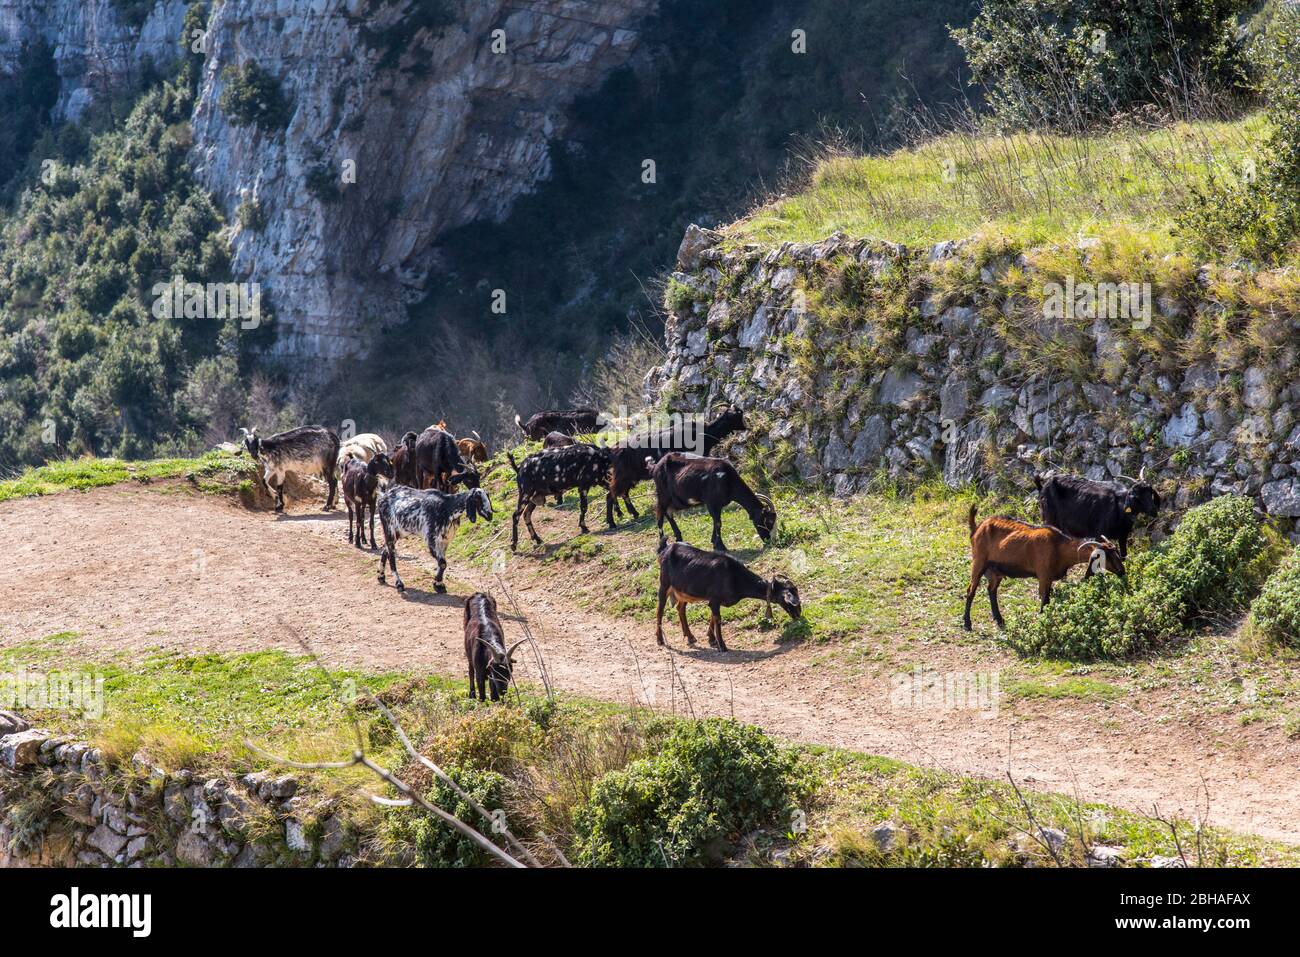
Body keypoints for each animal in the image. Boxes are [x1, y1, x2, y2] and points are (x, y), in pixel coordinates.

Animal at [603, 403, 748, 522]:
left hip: (629, 476)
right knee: (611, 494)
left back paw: (633, 513)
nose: (746, 427)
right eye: (736, 416)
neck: (705, 433)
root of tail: (613, 449)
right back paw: (612, 522)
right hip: (623, 475)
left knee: (623, 493)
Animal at [655, 538, 795, 650]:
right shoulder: (715, 600)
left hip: (683, 590)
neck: (734, 576)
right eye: (789, 600)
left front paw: (711, 639)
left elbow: (713, 617)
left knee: (680, 608)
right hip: (664, 584)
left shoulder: (716, 601)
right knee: (660, 610)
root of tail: (666, 549)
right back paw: (660, 640)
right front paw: (722, 646)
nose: (797, 615)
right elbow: (717, 619)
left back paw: (690, 637)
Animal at [961, 504, 1123, 631]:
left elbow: (1048, 600)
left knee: (991, 590)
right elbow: (1044, 600)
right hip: (979, 562)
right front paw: (1042, 624)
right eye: (1105, 556)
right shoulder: (1043, 576)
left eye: (1116, 551)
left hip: (996, 571)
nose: (1122, 571)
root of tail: (977, 528)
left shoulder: (1049, 578)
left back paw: (999, 620)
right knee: (971, 590)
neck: (1058, 547)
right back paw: (967, 624)